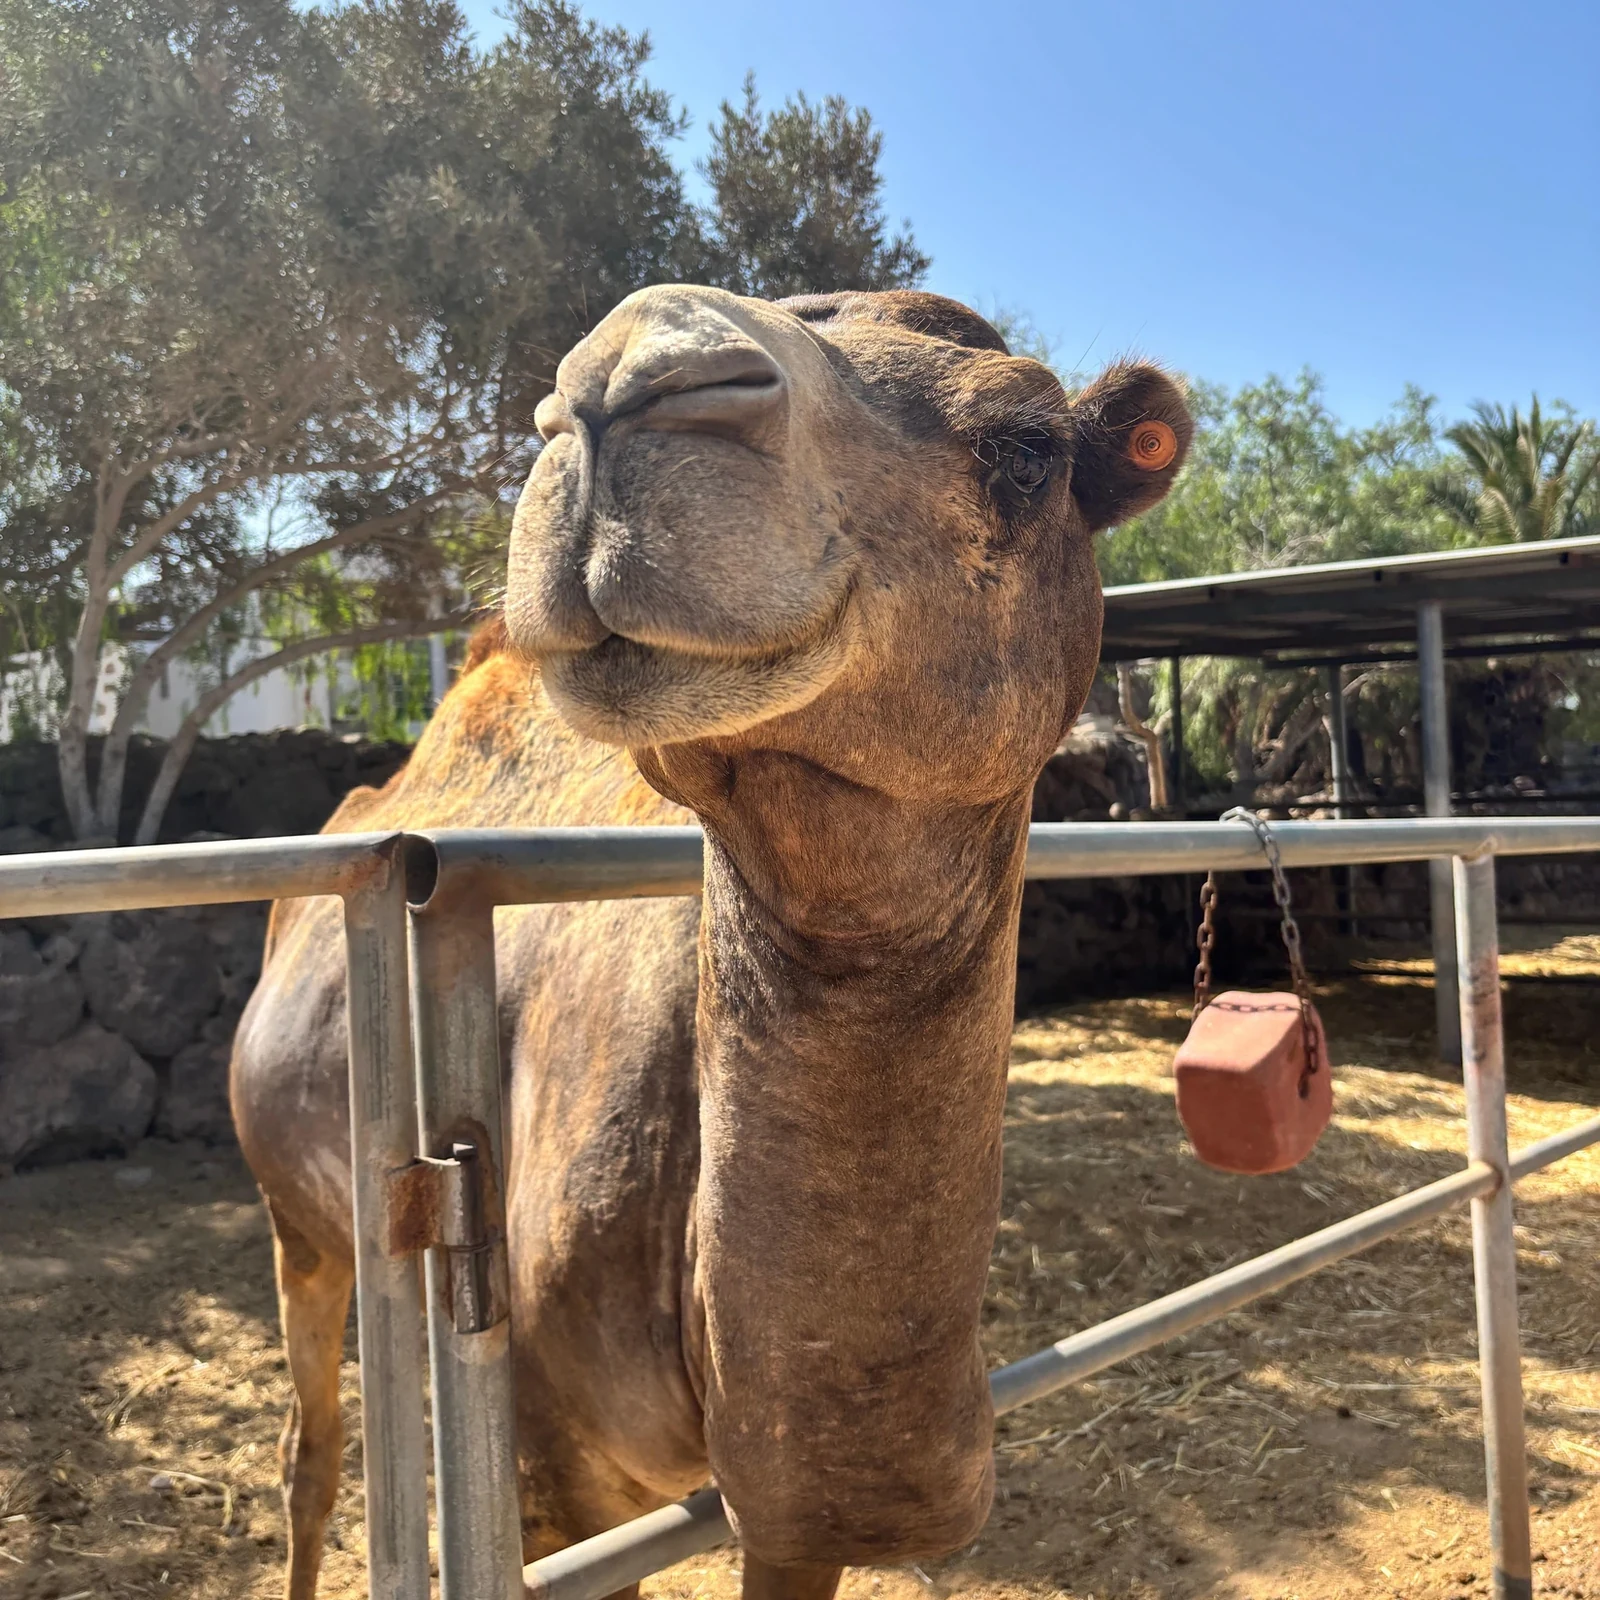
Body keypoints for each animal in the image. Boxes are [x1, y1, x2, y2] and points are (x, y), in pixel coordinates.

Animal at [231, 285, 1191, 1600]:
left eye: (1028, 448)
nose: (620, 380)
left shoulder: (798, 1517)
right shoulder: (566, 1485)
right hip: (295, 1215)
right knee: (311, 1445)